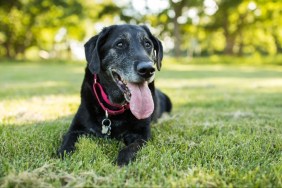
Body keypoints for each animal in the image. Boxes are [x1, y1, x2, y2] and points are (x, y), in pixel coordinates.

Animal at [58, 23, 171, 166]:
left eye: (148, 44)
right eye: (120, 44)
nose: (147, 70)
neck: (114, 107)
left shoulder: (142, 135)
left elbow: (131, 148)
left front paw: (122, 161)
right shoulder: (76, 128)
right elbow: (67, 142)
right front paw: (63, 155)